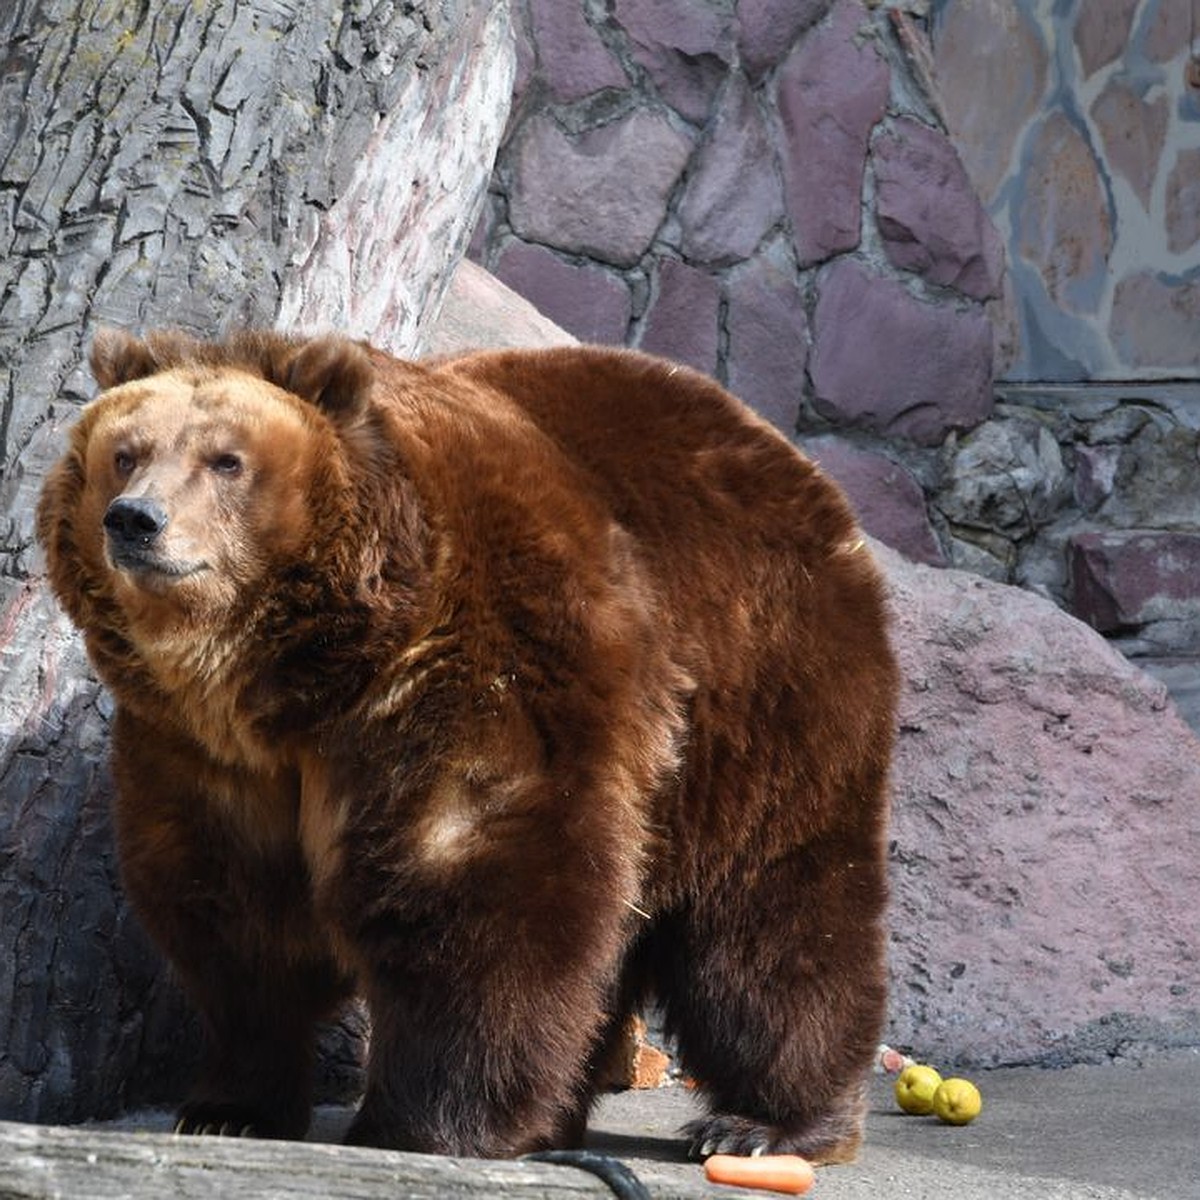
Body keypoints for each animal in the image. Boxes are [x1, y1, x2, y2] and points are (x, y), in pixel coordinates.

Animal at [35, 328, 902, 1161]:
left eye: (226, 460)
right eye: (126, 452)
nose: (136, 519)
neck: (299, 675)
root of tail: (783, 454)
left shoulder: (470, 666)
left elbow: (474, 886)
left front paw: (422, 1127)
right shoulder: (206, 753)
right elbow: (234, 919)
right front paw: (228, 1109)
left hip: (760, 688)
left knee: (767, 915)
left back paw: (766, 1124)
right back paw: (566, 1118)